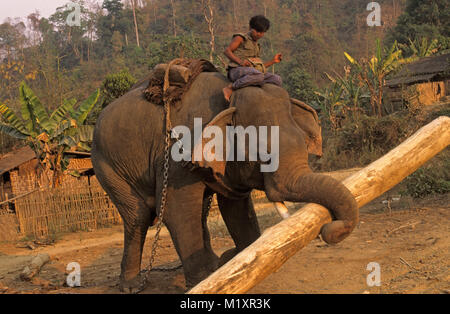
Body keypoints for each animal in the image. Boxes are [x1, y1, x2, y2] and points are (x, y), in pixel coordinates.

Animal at [91, 70, 358, 294]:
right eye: (263, 157)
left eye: (304, 145)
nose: (329, 228)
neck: (226, 102)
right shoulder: (178, 152)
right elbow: (175, 211)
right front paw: (203, 281)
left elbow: (235, 207)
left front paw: (230, 259)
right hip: (106, 165)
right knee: (138, 216)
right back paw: (131, 286)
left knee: (197, 212)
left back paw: (214, 263)